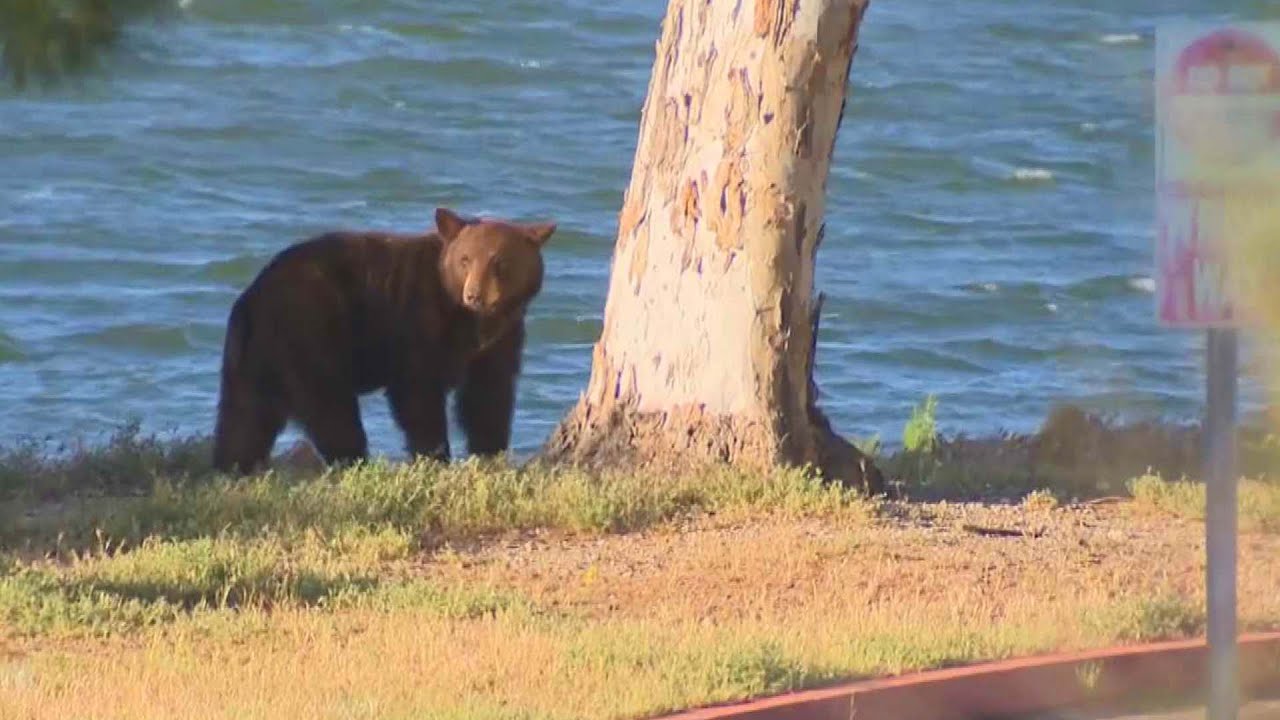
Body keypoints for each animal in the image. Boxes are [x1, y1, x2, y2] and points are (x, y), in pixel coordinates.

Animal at [209, 204, 555, 474]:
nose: (474, 295)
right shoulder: (418, 319)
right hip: (309, 334)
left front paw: (490, 454)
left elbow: (489, 394)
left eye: (500, 262)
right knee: (330, 408)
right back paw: (355, 462)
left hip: (253, 358)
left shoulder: (502, 338)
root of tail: (250, 298)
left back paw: (232, 467)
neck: (472, 320)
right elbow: (417, 392)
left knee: (244, 417)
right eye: (465, 259)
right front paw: (435, 456)